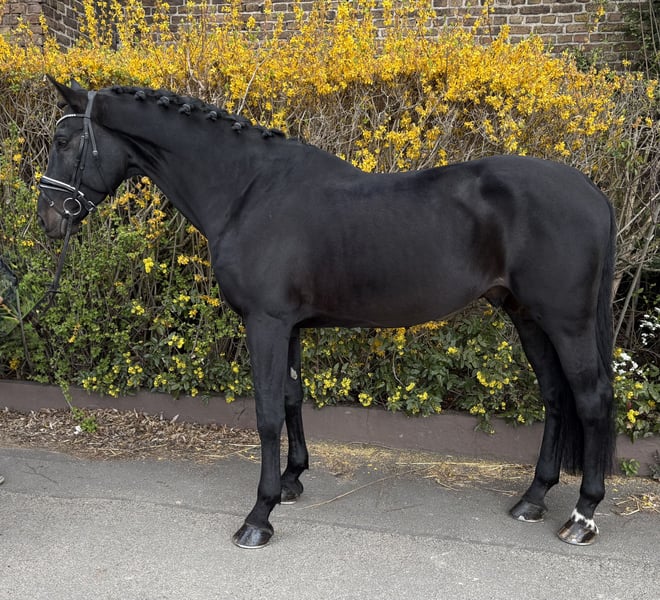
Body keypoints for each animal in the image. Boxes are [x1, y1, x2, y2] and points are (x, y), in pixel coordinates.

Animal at [37, 78, 616, 549]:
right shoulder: (288, 325)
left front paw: (259, 516)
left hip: (566, 321)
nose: (48, 217)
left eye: (64, 142)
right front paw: (292, 480)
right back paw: (533, 498)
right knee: (554, 397)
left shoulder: (266, 323)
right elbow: (292, 399)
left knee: (590, 400)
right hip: (527, 316)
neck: (249, 190)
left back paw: (583, 516)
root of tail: (593, 192)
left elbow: (267, 413)